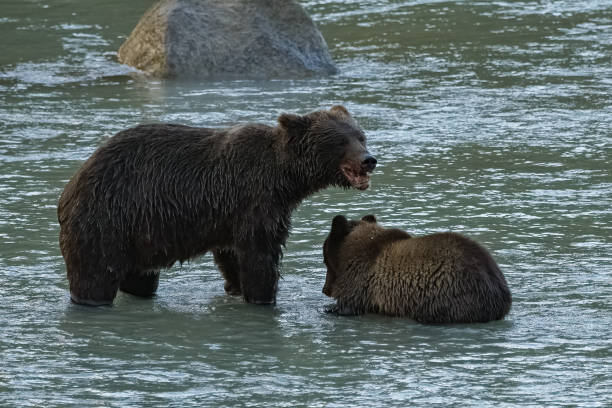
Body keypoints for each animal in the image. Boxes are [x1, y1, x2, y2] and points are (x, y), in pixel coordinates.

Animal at [58, 105, 372, 306]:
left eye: (361, 136)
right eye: (340, 141)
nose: (369, 159)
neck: (284, 179)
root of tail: (70, 188)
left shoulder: (230, 214)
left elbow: (231, 256)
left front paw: (236, 288)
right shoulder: (255, 200)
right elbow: (260, 256)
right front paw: (264, 297)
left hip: (138, 235)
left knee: (140, 278)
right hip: (106, 221)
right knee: (95, 276)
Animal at [320, 215, 512, 324]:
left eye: (325, 260)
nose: (325, 290)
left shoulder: (361, 281)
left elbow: (349, 305)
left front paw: (330, 308)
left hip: (448, 294)